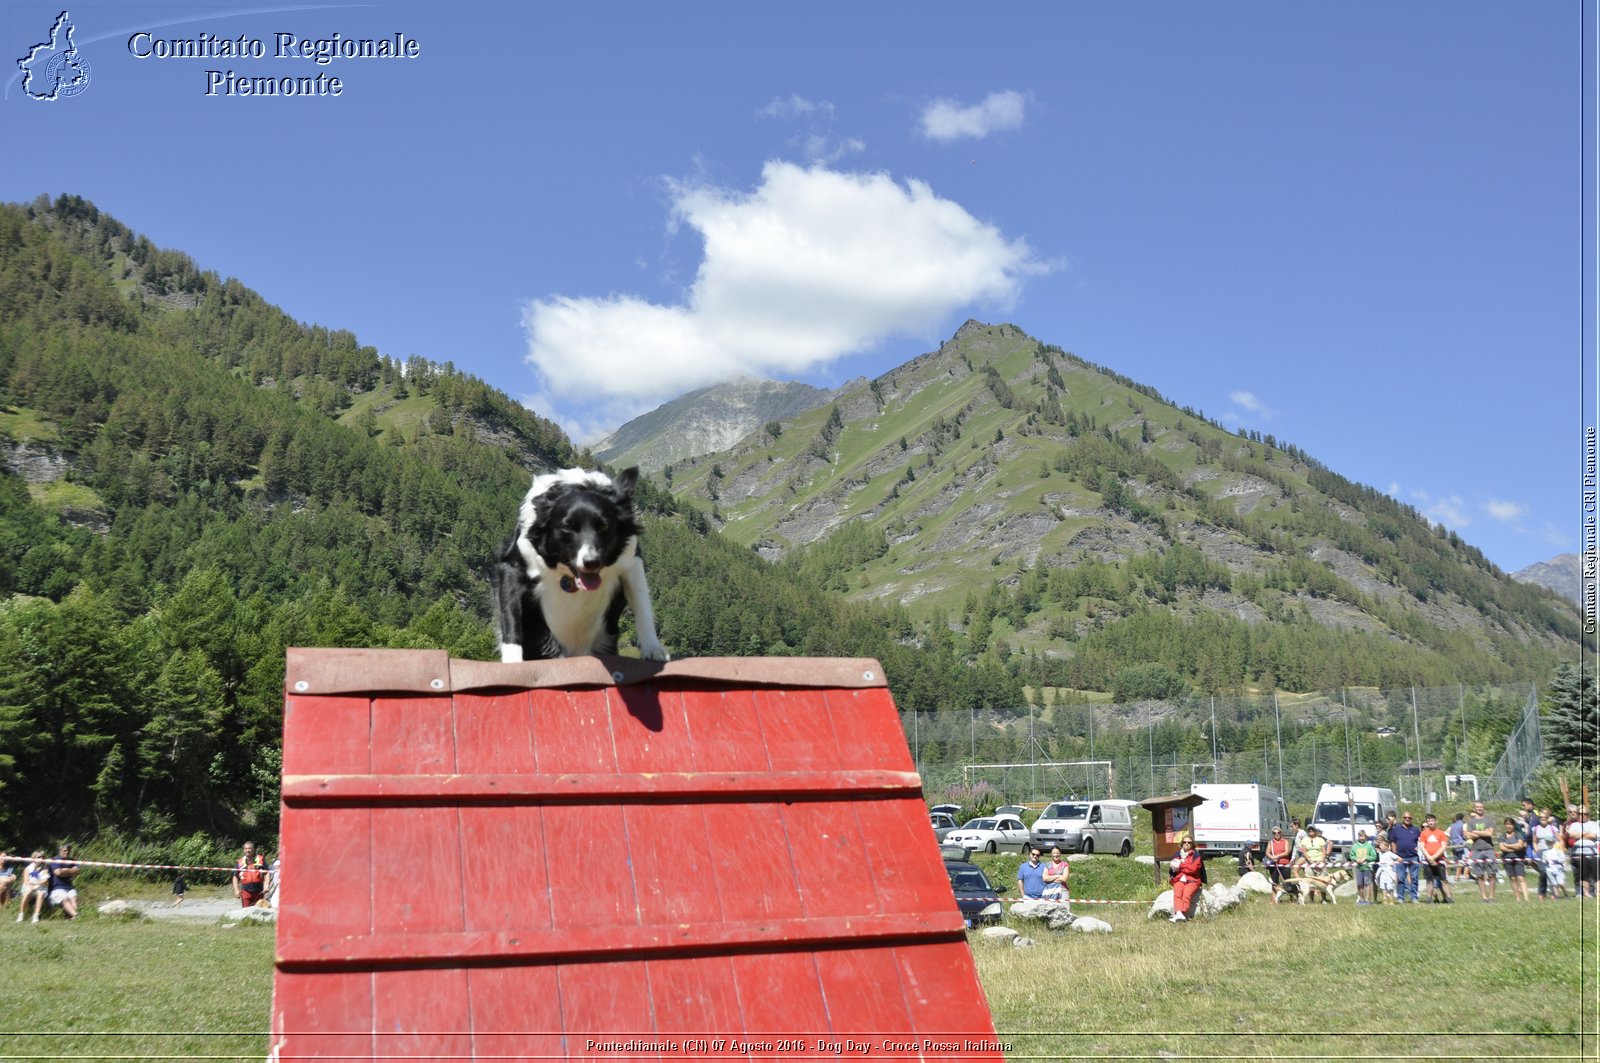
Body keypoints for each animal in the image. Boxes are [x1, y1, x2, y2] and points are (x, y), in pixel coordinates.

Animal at [483, 467, 665, 665]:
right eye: (567, 527)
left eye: (604, 526)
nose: (592, 562)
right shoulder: (512, 567)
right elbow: (511, 619)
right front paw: (512, 661)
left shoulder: (632, 563)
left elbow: (642, 608)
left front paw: (653, 649)